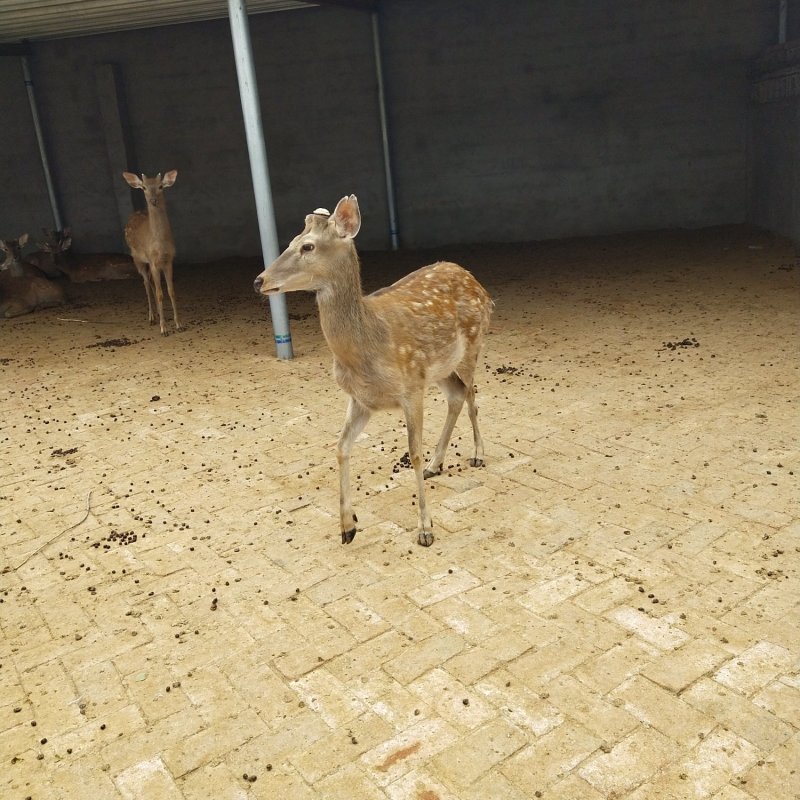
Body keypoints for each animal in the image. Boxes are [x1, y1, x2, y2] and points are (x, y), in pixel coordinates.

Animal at [122, 170, 181, 335]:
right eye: (144, 187)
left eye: (160, 186)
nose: (153, 200)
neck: (160, 245)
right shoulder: (153, 261)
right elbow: (160, 293)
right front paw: (163, 328)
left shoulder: (168, 261)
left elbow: (171, 291)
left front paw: (178, 324)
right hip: (137, 259)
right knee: (146, 283)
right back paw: (152, 317)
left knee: (151, 284)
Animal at [253, 195, 493, 547]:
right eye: (291, 242)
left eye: (308, 246)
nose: (259, 280)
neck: (367, 349)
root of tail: (478, 284)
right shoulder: (361, 399)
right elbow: (340, 447)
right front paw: (347, 526)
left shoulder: (411, 387)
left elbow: (413, 452)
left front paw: (425, 529)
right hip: (439, 370)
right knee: (458, 395)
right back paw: (437, 464)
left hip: (473, 346)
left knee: (473, 394)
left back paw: (477, 454)